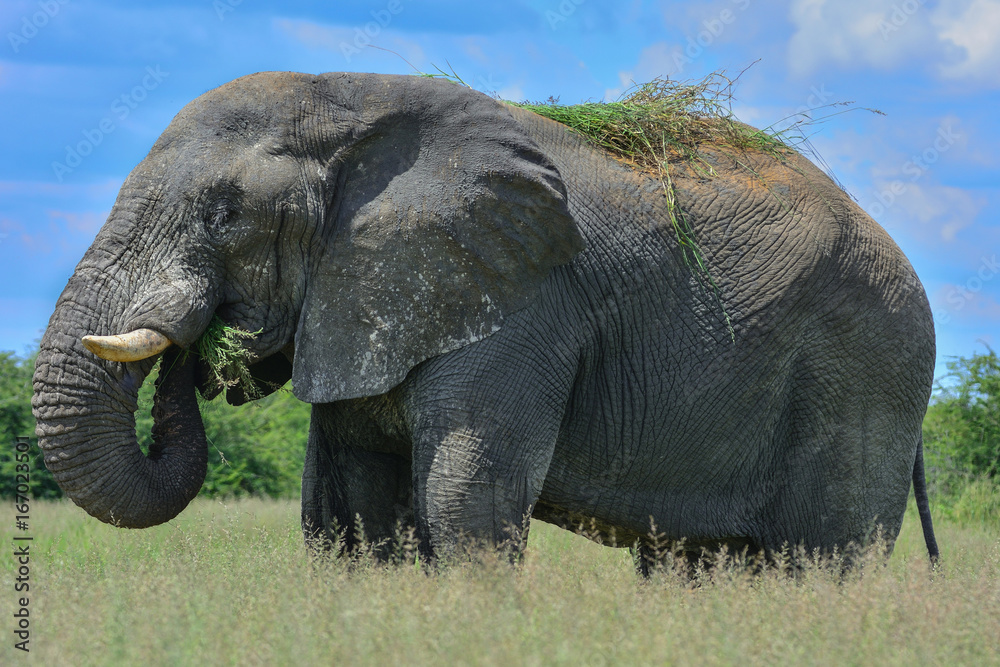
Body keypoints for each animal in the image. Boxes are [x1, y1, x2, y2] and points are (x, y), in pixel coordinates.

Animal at [32, 71, 939, 565]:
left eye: (225, 215)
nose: (202, 348)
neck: (351, 102)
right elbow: (349, 512)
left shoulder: (521, 303)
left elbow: (469, 501)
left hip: (868, 370)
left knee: (820, 558)